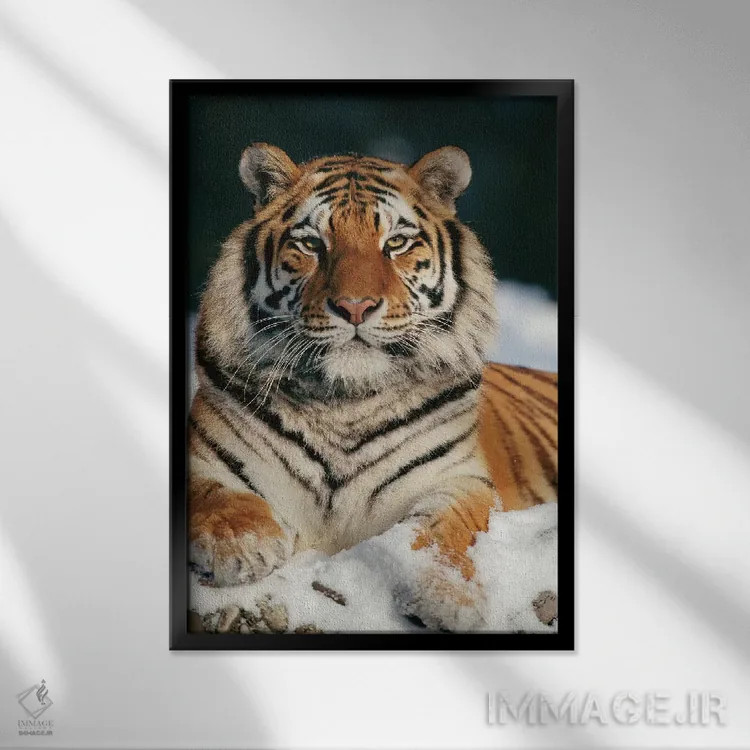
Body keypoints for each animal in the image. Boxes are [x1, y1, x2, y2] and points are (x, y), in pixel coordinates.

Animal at [188, 142, 558, 631]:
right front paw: (242, 545)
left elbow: (447, 531)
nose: (355, 306)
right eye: (312, 244)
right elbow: (212, 492)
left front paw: (449, 597)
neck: (345, 402)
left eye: (395, 243)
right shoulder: (203, 454)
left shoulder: (460, 479)